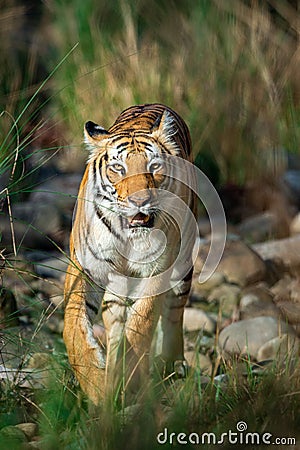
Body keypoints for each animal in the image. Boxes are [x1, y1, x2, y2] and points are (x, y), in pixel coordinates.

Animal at [63, 104, 197, 404]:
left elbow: (142, 320)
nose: (140, 201)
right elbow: (73, 327)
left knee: (175, 311)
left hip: (183, 262)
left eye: (154, 166)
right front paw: (97, 384)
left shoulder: (159, 268)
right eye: (118, 168)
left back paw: (173, 363)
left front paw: (128, 376)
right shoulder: (85, 270)